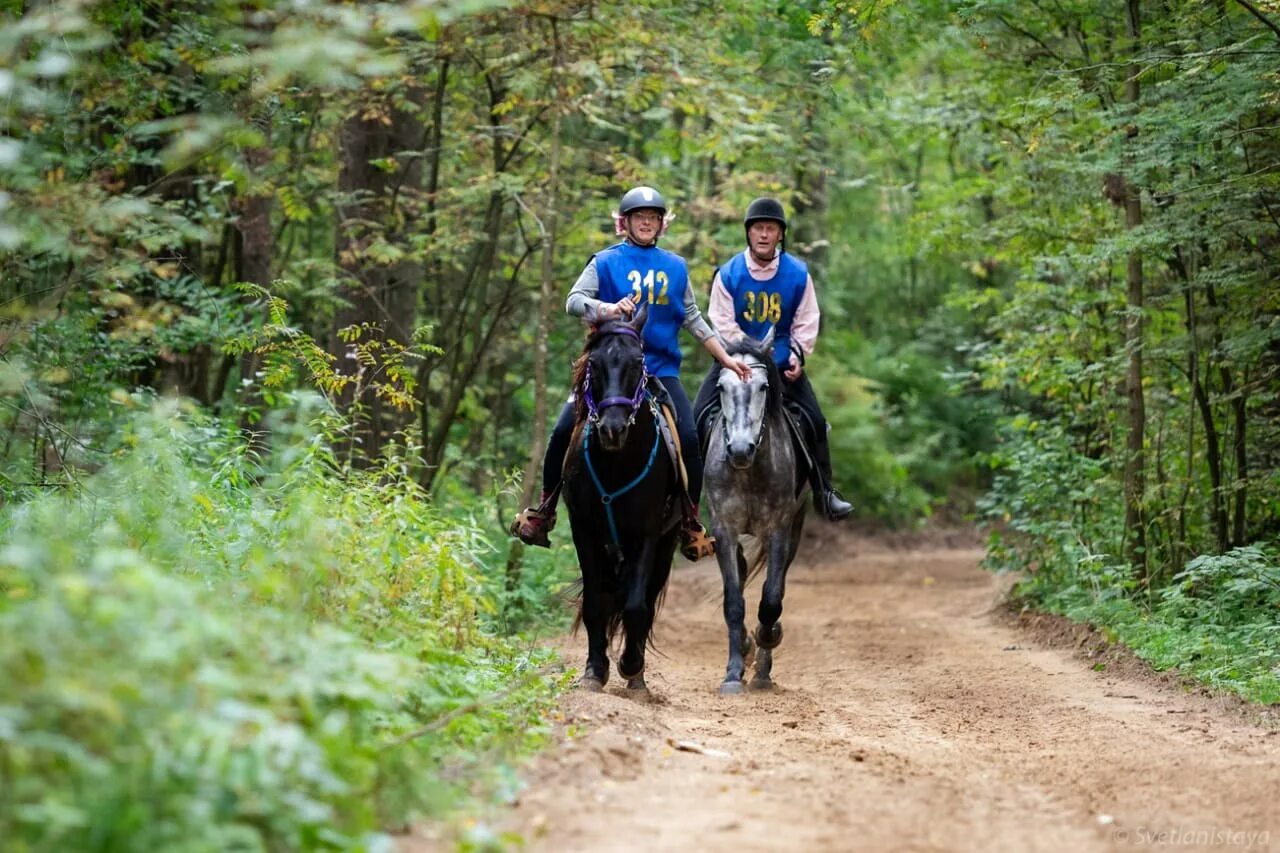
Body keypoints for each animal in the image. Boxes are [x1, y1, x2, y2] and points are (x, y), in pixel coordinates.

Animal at [563, 306, 680, 691]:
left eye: (637, 361)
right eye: (594, 363)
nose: (612, 429)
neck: (617, 463)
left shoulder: (647, 534)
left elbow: (636, 606)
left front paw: (630, 667)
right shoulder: (584, 530)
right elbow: (595, 604)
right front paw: (594, 670)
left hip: (667, 543)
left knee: (645, 597)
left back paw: (637, 674)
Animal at [701, 333, 808, 691]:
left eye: (763, 387)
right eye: (721, 387)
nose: (739, 450)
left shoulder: (779, 530)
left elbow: (772, 598)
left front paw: (767, 640)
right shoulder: (724, 529)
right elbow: (733, 601)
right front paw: (733, 672)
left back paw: (762, 664)